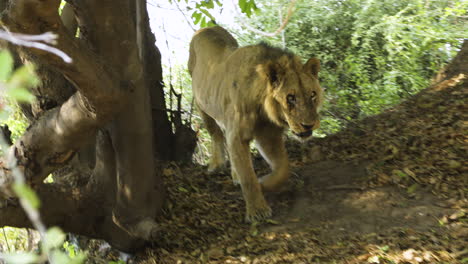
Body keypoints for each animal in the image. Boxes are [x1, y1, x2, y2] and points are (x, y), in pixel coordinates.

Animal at [188, 26, 324, 221]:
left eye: (312, 94)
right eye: (290, 97)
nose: (309, 125)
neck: (263, 110)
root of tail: (206, 27)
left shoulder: (269, 134)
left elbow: (284, 168)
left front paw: (265, 183)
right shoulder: (237, 134)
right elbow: (248, 177)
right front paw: (257, 211)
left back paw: (234, 174)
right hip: (201, 104)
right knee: (216, 134)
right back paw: (216, 164)